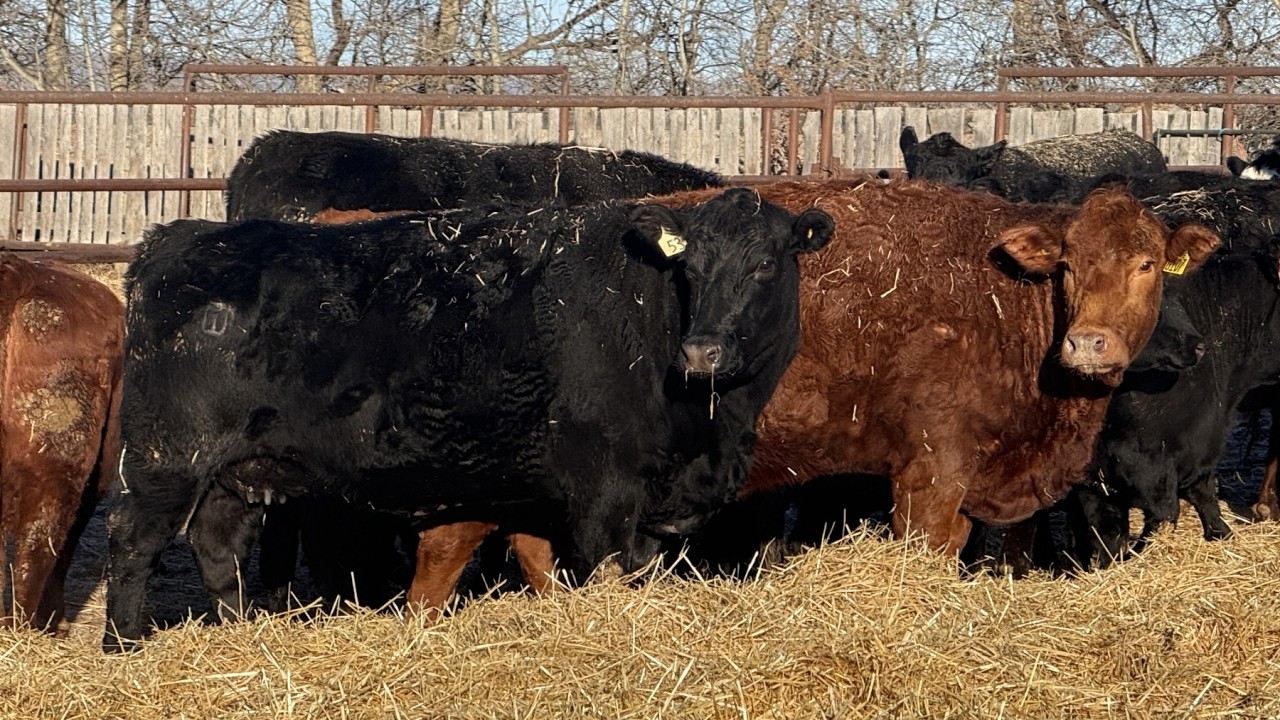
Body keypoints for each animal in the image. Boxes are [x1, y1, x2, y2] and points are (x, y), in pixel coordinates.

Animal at [101, 190, 835, 652]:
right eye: (689, 268)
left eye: (765, 264)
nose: (702, 351)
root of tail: (183, 237)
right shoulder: (604, 490)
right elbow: (602, 572)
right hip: (169, 457)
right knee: (133, 540)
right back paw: (125, 645)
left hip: (239, 468)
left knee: (218, 544)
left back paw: (242, 633)